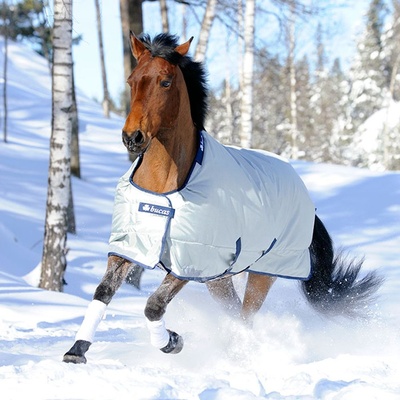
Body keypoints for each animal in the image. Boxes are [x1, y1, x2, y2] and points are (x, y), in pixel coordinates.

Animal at [62, 32, 382, 364]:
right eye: (131, 80)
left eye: (165, 82)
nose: (132, 137)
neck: (164, 190)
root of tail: (305, 195)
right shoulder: (129, 247)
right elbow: (103, 292)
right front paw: (76, 351)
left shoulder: (191, 263)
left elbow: (153, 305)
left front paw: (172, 341)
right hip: (220, 278)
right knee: (234, 312)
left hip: (261, 274)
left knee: (245, 314)